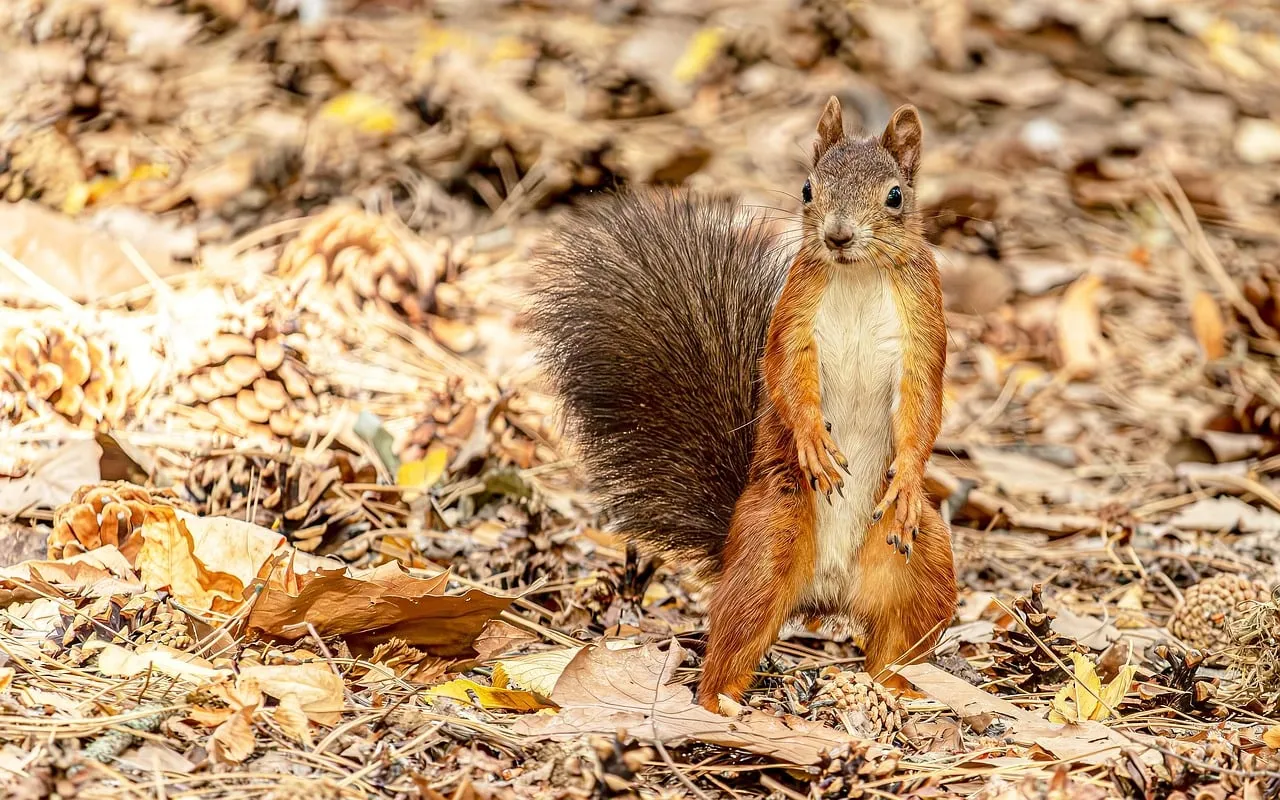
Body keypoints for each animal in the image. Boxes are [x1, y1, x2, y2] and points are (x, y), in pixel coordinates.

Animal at [526, 97, 957, 712]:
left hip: (923, 564)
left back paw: (900, 690)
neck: (856, 276)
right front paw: (813, 440)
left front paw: (907, 480)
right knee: (734, 636)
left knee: (896, 645)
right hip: (767, 542)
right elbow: (784, 376)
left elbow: (923, 401)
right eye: (807, 187)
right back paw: (722, 705)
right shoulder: (794, 315)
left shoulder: (924, 315)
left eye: (895, 195)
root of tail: (822, 596)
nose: (838, 235)